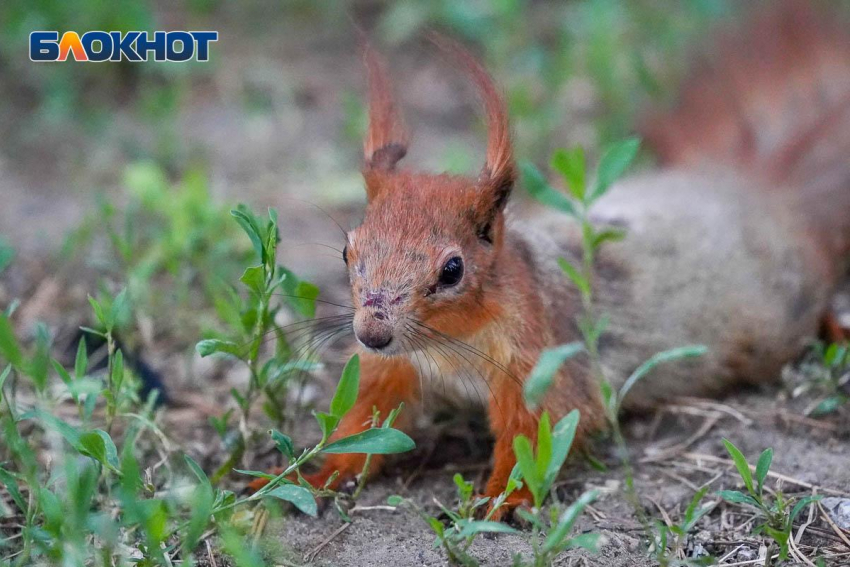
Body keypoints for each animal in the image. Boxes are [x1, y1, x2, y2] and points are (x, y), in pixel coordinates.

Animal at [248, 0, 848, 512]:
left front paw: (502, 499)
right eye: (347, 250)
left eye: (452, 269)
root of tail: (763, 190)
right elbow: (365, 426)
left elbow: (533, 436)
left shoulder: (541, 362)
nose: (372, 334)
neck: (448, 345)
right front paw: (305, 475)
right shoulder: (393, 372)